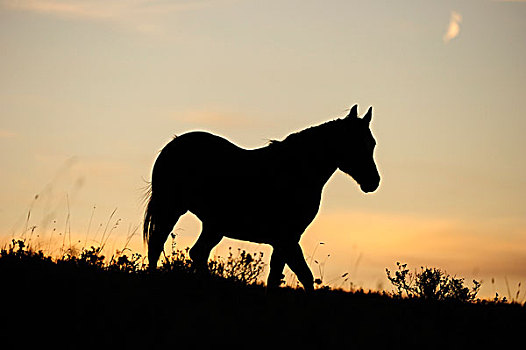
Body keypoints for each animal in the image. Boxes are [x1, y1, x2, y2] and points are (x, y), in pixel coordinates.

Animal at [144, 104, 382, 292]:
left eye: (372, 143)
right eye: (355, 143)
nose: (373, 182)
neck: (296, 171)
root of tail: (173, 144)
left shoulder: (284, 241)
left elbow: (279, 278)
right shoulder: (287, 238)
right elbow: (302, 277)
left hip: (213, 226)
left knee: (197, 253)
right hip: (171, 208)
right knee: (157, 245)